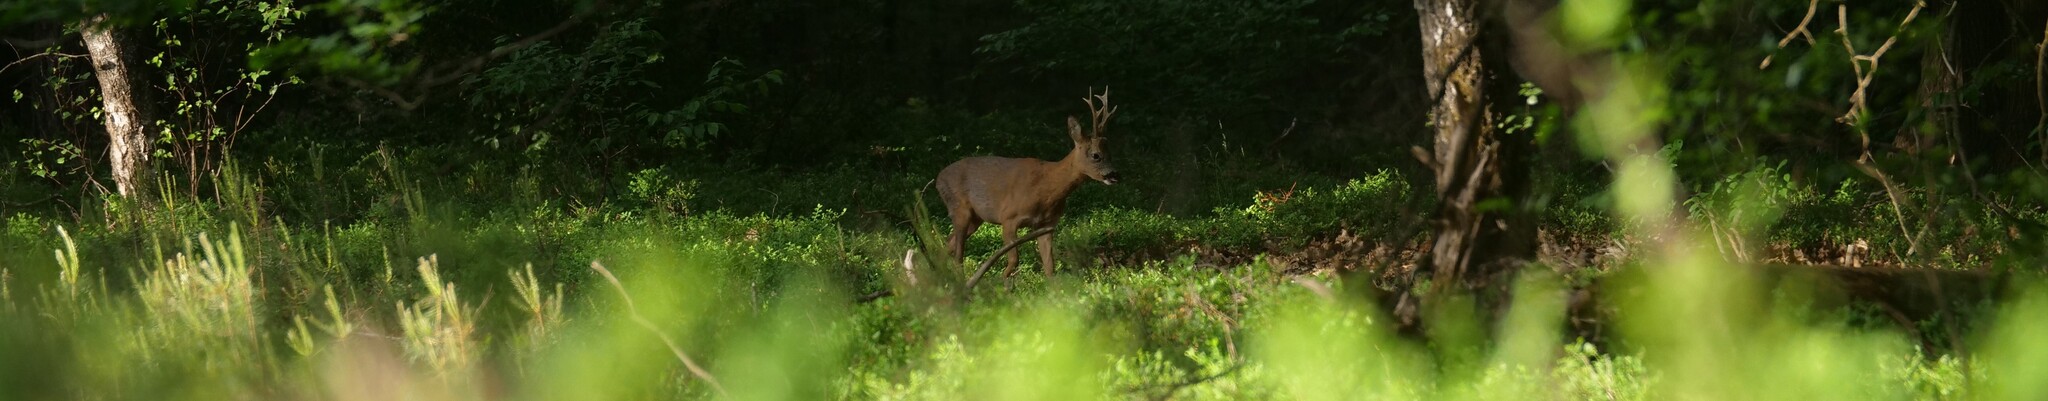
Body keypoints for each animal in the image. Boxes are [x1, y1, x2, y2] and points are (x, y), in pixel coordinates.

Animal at [937, 86, 1130, 284]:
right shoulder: (1008, 217)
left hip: (976, 218)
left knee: (947, 245)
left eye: (1111, 153)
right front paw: (1002, 283)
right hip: (959, 208)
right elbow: (1014, 259)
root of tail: (938, 178)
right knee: (957, 255)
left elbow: (1050, 266)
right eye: (1096, 155)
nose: (1115, 175)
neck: (1046, 189)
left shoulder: (1046, 225)